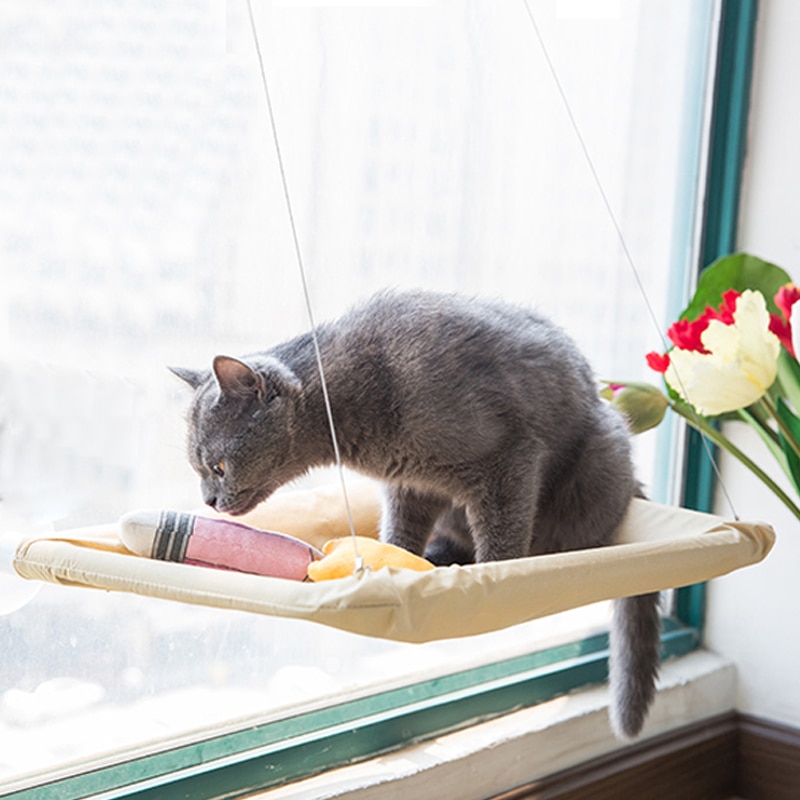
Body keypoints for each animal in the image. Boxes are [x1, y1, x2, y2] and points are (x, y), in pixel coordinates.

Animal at [172, 288, 660, 736]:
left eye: (217, 466)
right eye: (198, 468)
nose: (208, 501)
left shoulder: (508, 458)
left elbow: (503, 528)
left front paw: (497, 576)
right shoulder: (410, 484)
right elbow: (401, 530)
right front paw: (396, 563)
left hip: (597, 454)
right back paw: (439, 558)